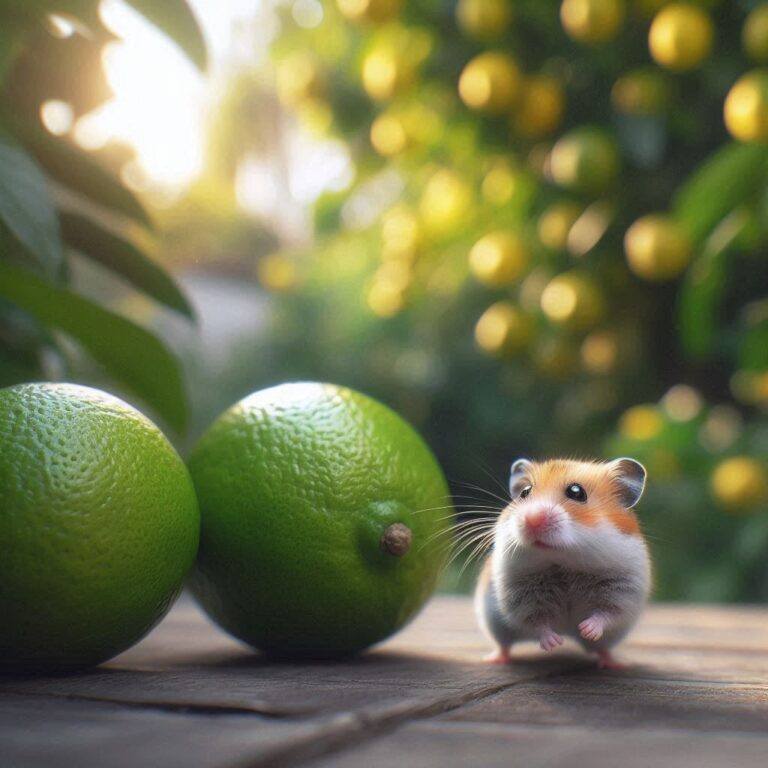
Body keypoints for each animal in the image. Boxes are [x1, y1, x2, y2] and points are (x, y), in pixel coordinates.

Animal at [476, 456, 652, 664]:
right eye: (525, 492)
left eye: (576, 492)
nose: (532, 519)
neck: (562, 562)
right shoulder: (519, 595)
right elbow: (537, 622)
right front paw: (553, 643)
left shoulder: (622, 589)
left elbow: (606, 613)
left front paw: (586, 630)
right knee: (504, 646)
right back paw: (493, 659)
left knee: (603, 648)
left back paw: (613, 663)